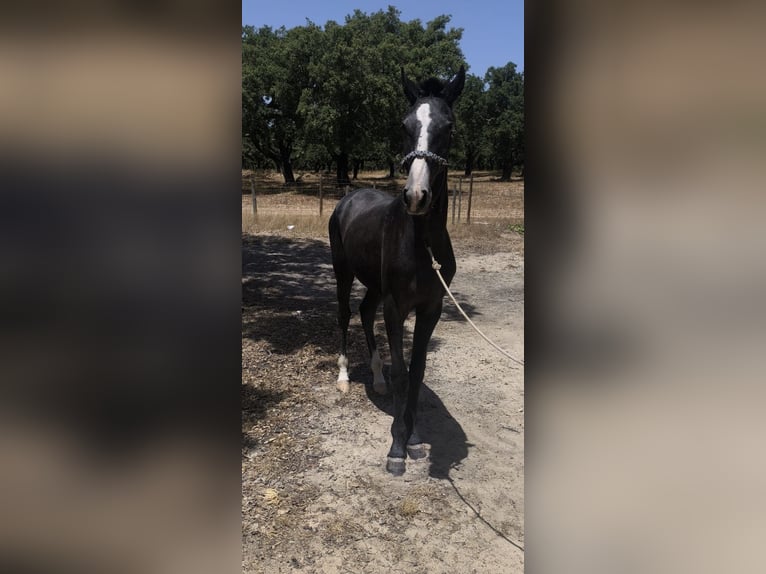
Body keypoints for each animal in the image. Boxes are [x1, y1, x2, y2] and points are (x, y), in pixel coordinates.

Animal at [328, 65, 465, 476]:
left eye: (448, 125)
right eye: (405, 124)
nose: (417, 197)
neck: (421, 241)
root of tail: (349, 197)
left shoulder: (431, 308)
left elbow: (417, 372)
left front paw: (414, 436)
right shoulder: (396, 307)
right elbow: (403, 372)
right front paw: (397, 447)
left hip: (374, 284)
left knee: (363, 311)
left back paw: (377, 379)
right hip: (343, 273)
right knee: (345, 314)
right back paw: (344, 377)